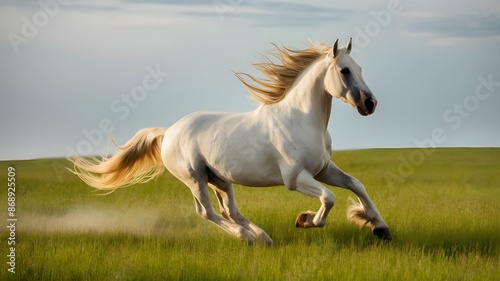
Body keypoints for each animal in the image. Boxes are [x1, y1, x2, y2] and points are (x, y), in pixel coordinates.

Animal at [69, 38, 390, 243]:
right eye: (344, 70)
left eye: (360, 69)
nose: (370, 103)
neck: (300, 120)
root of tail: (169, 131)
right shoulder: (296, 178)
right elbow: (329, 198)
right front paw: (305, 219)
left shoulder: (323, 170)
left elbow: (355, 185)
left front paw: (379, 227)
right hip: (195, 178)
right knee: (207, 212)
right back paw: (246, 237)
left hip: (220, 179)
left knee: (230, 210)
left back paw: (262, 237)